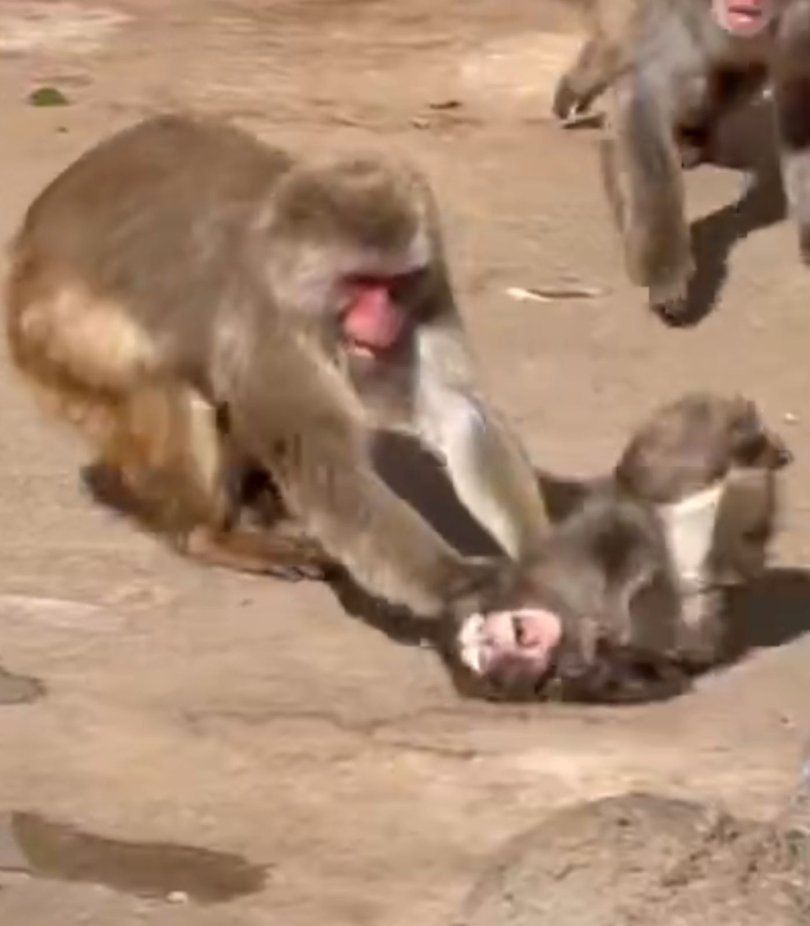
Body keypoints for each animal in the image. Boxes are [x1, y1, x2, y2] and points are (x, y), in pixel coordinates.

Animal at [4, 113, 554, 640]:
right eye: (361, 283)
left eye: (395, 283)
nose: (384, 321)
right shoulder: (266, 326)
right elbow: (322, 460)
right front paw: (454, 581)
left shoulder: (429, 288)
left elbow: (457, 408)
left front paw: (543, 555)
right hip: (55, 339)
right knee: (169, 388)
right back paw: (211, 536)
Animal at [443, 392, 791, 703]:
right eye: (491, 650)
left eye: (491, 638)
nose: (522, 635)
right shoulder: (583, 674)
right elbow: (650, 672)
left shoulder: (544, 573)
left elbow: (614, 533)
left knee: (651, 477)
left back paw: (750, 439)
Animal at [551, 0, 810, 322]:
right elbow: (642, 97)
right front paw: (664, 273)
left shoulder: (800, 30)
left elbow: (799, 98)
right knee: (621, 47)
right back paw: (585, 74)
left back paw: (691, 137)